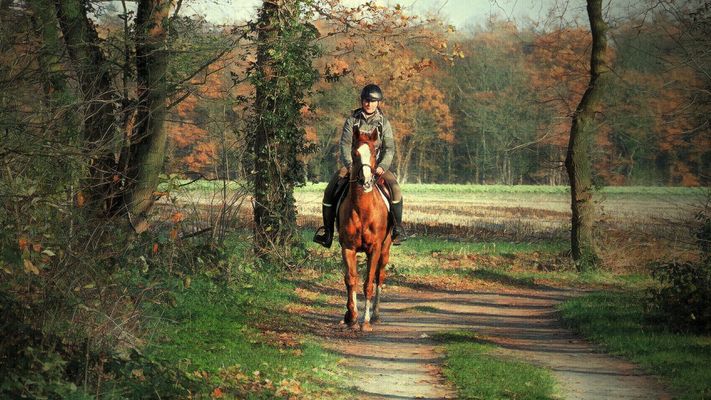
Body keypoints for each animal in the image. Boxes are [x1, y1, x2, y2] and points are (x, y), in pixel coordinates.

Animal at [338, 125, 393, 332]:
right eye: (355, 153)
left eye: (374, 154)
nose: (367, 181)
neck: (362, 209)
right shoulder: (348, 248)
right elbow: (351, 279)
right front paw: (351, 316)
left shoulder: (374, 249)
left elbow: (368, 283)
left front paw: (366, 321)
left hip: (385, 250)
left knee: (379, 276)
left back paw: (376, 315)